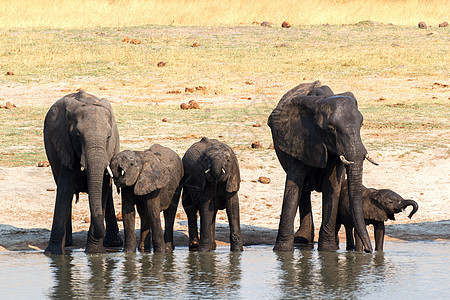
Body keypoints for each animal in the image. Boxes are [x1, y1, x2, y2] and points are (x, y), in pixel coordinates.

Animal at [43, 90, 122, 254]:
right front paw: (53, 254)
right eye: (78, 136)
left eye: (108, 137)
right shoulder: (65, 145)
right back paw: (67, 244)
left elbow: (102, 189)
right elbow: (65, 190)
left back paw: (113, 243)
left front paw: (94, 253)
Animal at [268, 81, 380, 252]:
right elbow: (293, 188)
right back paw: (301, 240)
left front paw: (328, 250)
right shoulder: (298, 139)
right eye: (331, 129)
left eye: (361, 124)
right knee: (304, 190)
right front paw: (282, 252)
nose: (369, 250)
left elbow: (331, 186)